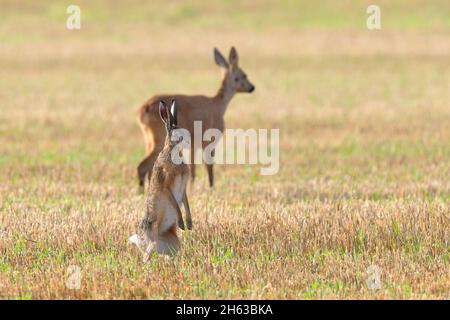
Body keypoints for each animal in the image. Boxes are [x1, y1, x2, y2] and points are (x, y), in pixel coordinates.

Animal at [130, 100, 193, 260]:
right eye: (179, 135)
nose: (189, 142)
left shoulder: (183, 189)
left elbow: (186, 203)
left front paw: (189, 225)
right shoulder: (166, 186)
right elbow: (176, 204)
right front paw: (181, 224)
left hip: (174, 243)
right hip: (152, 234)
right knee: (147, 254)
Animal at [137, 46, 255, 191]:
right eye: (244, 75)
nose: (252, 87)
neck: (218, 105)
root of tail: (141, 111)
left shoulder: (193, 143)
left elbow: (193, 167)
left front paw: (192, 187)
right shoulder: (209, 139)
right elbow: (208, 165)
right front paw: (211, 187)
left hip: (148, 139)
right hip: (158, 138)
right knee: (142, 166)